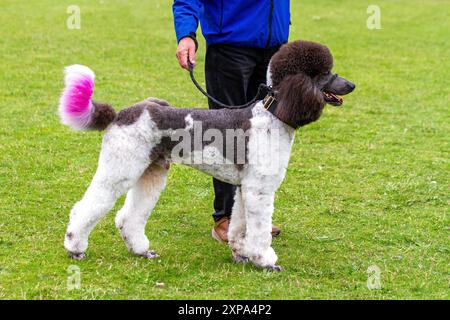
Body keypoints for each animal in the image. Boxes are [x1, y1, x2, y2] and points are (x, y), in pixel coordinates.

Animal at [59, 39, 356, 270]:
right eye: (324, 72)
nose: (351, 85)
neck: (273, 115)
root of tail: (119, 115)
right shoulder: (259, 189)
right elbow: (259, 231)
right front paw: (265, 260)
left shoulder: (245, 187)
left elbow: (240, 225)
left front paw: (241, 254)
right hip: (120, 167)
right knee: (86, 208)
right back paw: (75, 247)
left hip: (150, 171)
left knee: (127, 218)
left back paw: (142, 251)